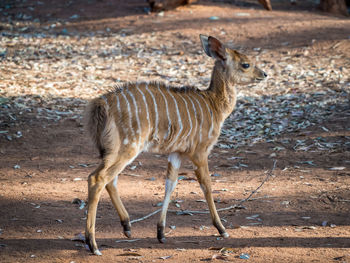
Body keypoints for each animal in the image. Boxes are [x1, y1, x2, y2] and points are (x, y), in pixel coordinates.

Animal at [85, 35, 268, 256]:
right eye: (246, 64)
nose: (264, 74)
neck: (214, 105)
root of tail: (102, 104)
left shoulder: (177, 153)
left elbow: (170, 185)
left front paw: (161, 233)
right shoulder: (200, 152)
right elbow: (207, 185)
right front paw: (222, 229)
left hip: (113, 150)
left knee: (108, 179)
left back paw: (127, 227)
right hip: (129, 146)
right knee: (98, 178)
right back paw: (93, 245)